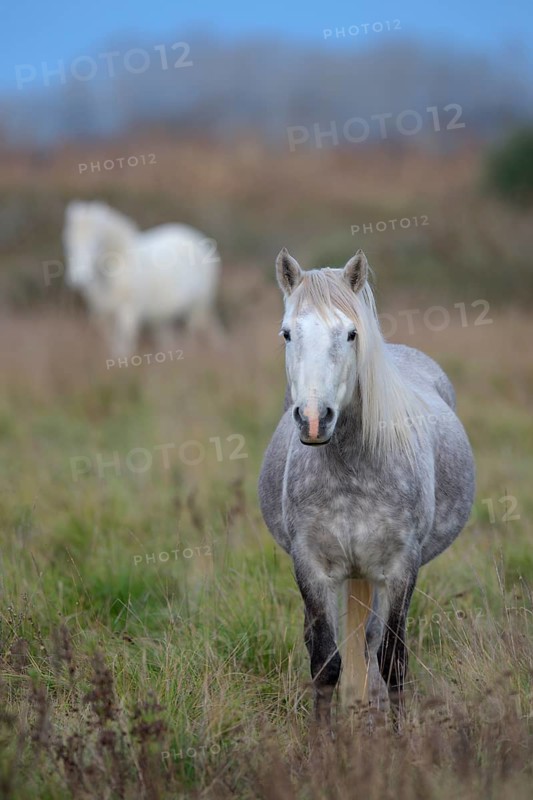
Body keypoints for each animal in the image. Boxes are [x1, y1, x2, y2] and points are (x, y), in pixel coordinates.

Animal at [63, 201, 221, 357]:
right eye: (68, 242)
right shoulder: (103, 315)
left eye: (96, 243)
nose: (79, 279)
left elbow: (123, 345)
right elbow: (111, 344)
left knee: (193, 333)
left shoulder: (129, 312)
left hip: (198, 307)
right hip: (165, 318)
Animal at [258, 248, 475, 730]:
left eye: (351, 333)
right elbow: (325, 662)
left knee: (373, 641)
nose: (314, 419)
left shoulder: (400, 568)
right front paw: (323, 743)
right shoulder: (310, 566)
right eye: (287, 333)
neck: (351, 474)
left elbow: (392, 659)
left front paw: (396, 737)